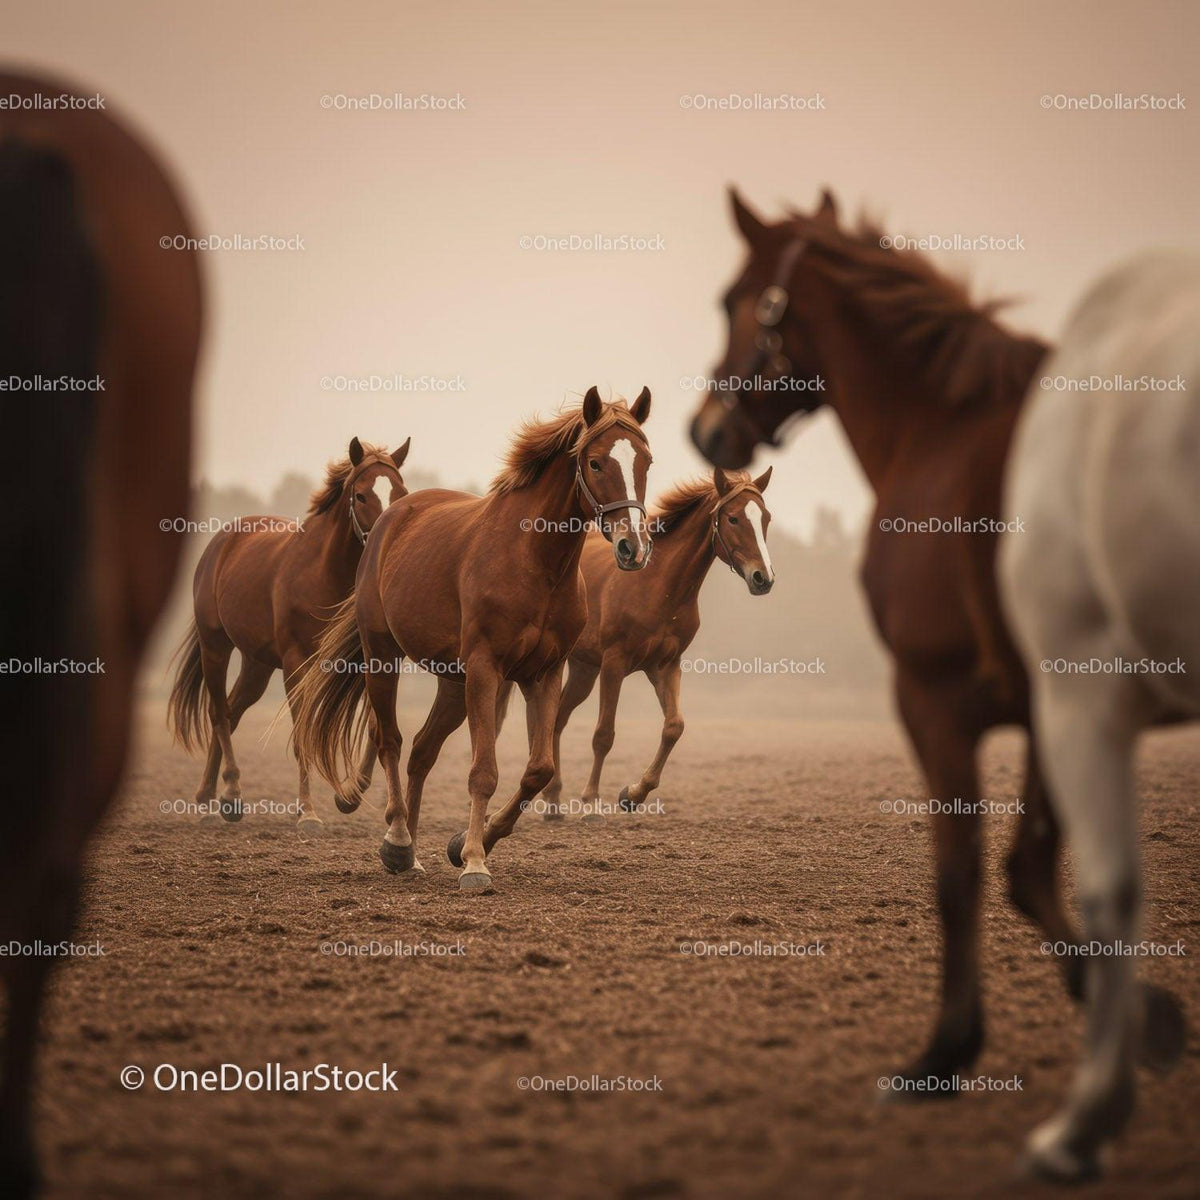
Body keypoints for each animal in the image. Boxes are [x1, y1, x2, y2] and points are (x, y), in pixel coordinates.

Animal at [167, 437, 410, 832]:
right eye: (360, 495)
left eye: (400, 491)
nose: (384, 540)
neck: (322, 571)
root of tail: (222, 541)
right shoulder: (297, 664)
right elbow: (302, 737)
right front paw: (307, 812)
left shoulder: (365, 662)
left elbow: (377, 727)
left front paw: (349, 795)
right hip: (215, 646)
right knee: (218, 712)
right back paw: (224, 795)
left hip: (257, 665)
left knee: (231, 712)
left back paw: (215, 797)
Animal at [292, 387, 653, 891]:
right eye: (597, 463)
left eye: (646, 461)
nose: (632, 547)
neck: (534, 562)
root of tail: (392, 518)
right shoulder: (487, 670)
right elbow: (483, 772)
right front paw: (476, 862)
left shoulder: (543, 675)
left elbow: (538, 769)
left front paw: (467, 842)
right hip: (385, 659)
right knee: (390, 740)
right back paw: (398, 839)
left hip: (452, 683)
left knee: (422, 751)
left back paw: (408, 854)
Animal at [535, 466, 774, 822]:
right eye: (733, 518)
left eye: (765, 518)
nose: (763, 578)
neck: (659, 586)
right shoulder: (615, 664)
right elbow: (603, 735)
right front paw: (591, 802)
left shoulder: (665, 666)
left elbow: (674, 727)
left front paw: (633, 794)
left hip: (584, 671)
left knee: (558, 721)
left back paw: (553, 799)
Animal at [687, 186, 1107, 1095]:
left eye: (733, 300)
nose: (705, 431)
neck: (943, 427)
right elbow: (1028, 868)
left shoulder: (938, 697)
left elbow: (976, 872)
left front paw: (951, 1045)